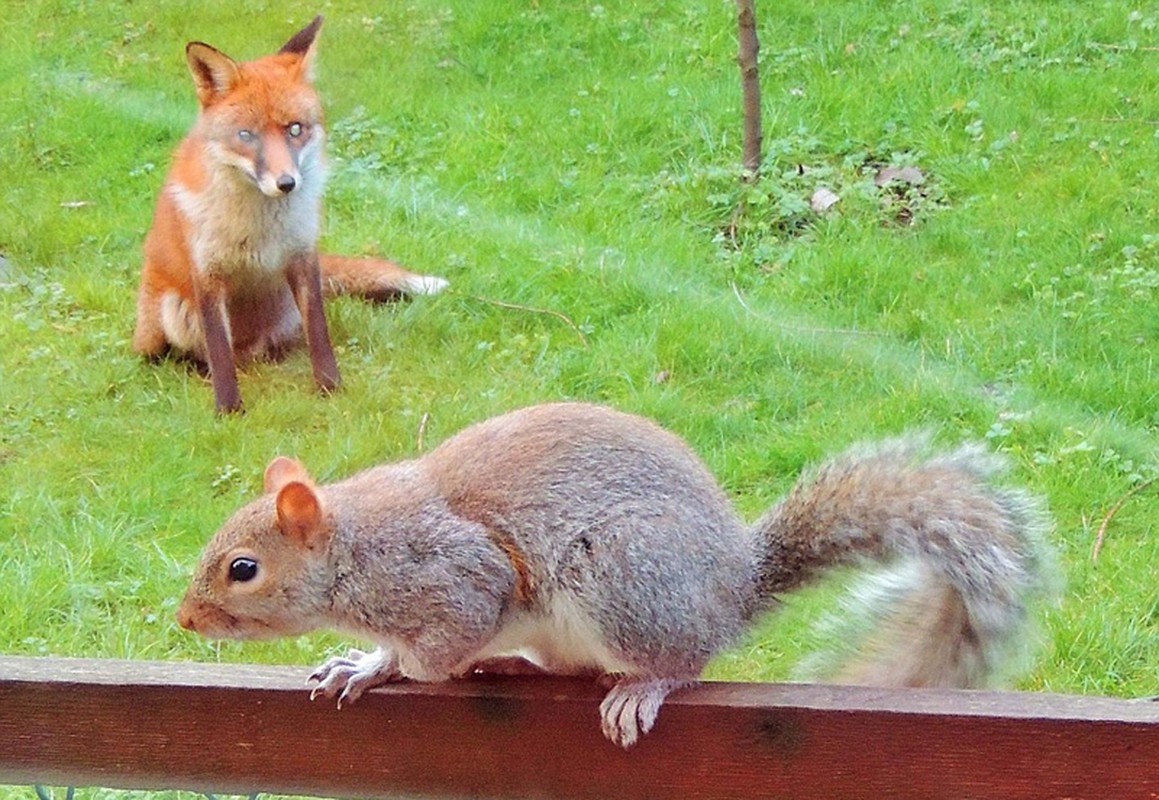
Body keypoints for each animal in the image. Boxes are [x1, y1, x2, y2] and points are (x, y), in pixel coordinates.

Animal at [131, 16, 447, 415]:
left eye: (295, 129)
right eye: (246, 135)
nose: (286, 183)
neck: (260, 227)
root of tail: (251, 351)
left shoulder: (302, 255)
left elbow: (319, 332)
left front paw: (331, 389)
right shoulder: (206, 272)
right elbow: (219, 353)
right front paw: (229, 412)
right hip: (166, 318)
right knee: (191, 355)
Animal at [173, 401, 1052, 746]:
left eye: (243, 569)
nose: (185, 619)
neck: (354, 546)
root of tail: (730, 590)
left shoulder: (453, 575)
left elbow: (433, 649)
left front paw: (383, 664)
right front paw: (356, 661)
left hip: (624, 577)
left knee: (683, 660)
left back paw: (641, 687)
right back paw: (511, 663)